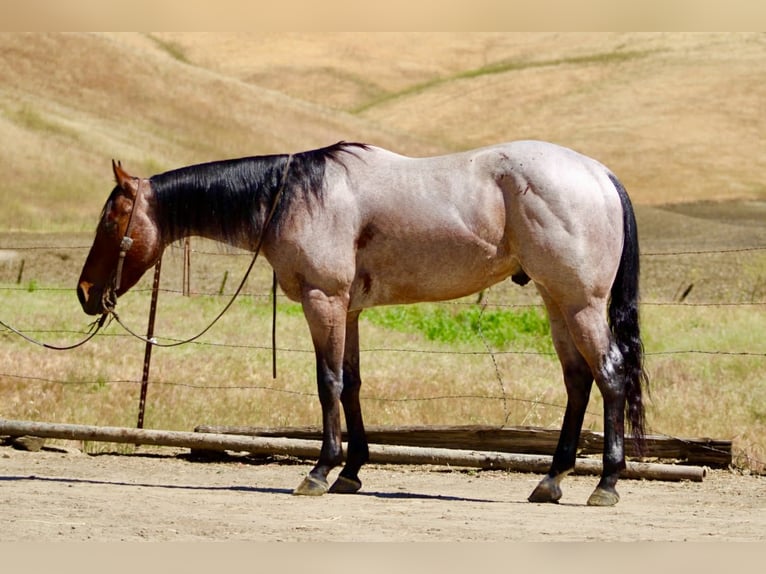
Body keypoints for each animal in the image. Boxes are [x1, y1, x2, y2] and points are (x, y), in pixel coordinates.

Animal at [77, 140, 647, 506]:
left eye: (110, 219)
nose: (85, 293)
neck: (294, 196)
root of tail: (599, 174)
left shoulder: (323, 301)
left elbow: (327, 382)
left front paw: (320, 470)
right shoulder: (346, 310)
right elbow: (350, 384)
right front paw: (351, 471)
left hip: (580, 304)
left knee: (610, 376)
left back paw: (606, 484)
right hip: (557, 303)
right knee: (578, 381)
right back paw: (550, 481)